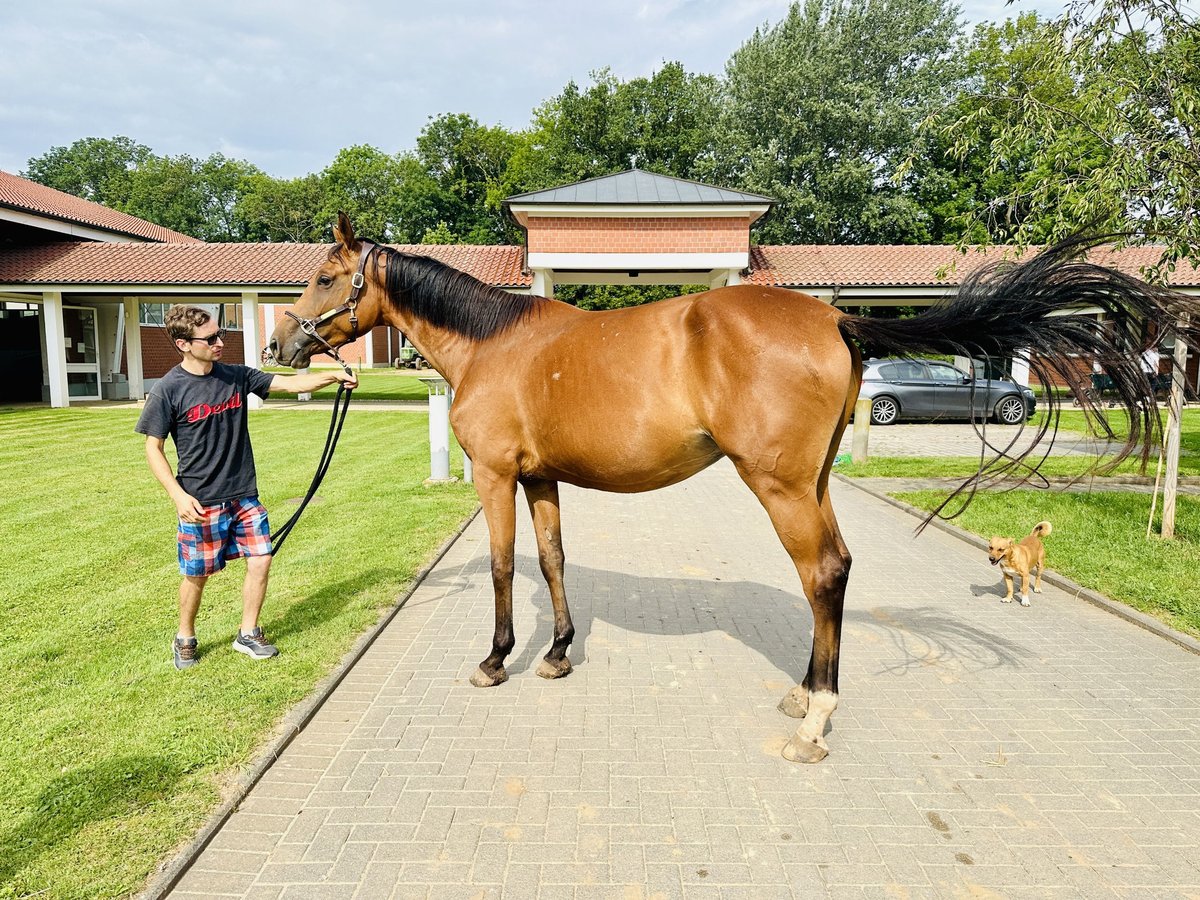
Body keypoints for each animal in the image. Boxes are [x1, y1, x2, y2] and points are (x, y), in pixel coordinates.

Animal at [267, 214, 1195, 763]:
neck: (496, 343)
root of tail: (835, 314)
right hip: (810, 481)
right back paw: (804, 693)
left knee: (821, 572)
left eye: (324, 277)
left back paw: (818, 720)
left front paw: (497, 660)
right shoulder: (542, 480)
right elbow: (554, 562)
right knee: (837, 569)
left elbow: (501, 568)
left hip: (778, 485)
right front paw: (559, 653)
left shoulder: (497, 478)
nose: (280, 346)